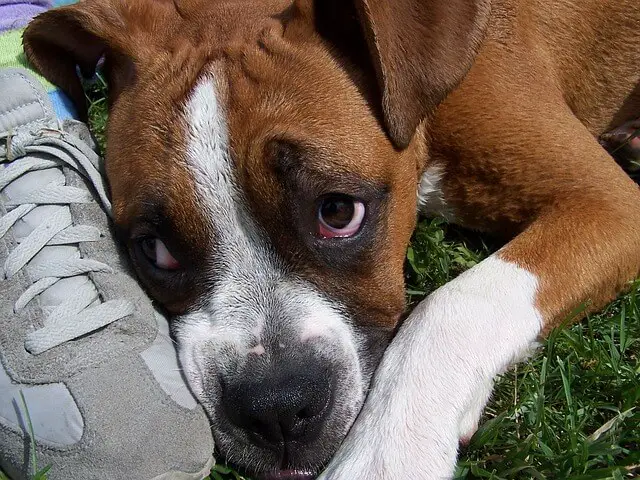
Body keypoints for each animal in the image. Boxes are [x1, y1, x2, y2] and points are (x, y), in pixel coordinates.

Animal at [21, 0, 640, 478]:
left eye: (338, 212)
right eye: (156, 250)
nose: (276, 410)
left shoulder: (606, 203)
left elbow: (453, 304)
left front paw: (389, 454)